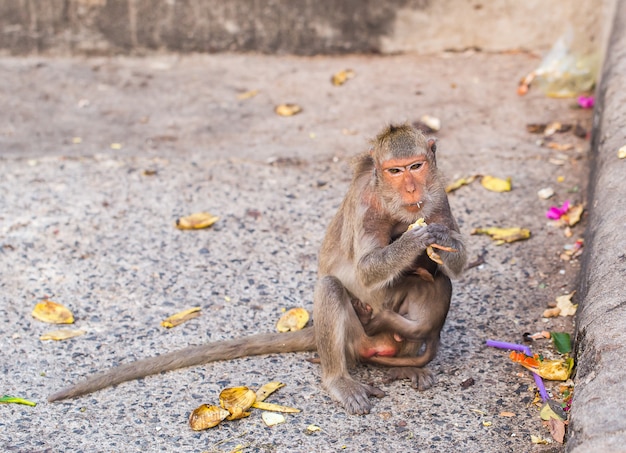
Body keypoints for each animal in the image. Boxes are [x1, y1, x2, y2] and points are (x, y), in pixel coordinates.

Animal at [47, 122, 464, 414]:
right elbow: (364, 271)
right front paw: (415, 240)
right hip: (356, 339)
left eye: (416, 167)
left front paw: (445, 240)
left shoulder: (438, 193)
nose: (411, 190)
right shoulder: (366, 203)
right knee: (331, 288)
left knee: (432, 287)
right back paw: (337, 380)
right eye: (395, 171)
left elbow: (454, 262)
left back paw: (407, 364)